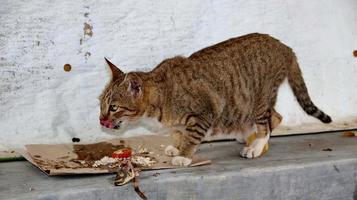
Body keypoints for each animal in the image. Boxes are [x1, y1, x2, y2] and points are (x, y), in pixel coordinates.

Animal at [98, 33, 330, 166]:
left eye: (114, 107)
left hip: (259, 97)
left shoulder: (206, 111)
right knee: (275, 116)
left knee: (270, 120)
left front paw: (184, 154)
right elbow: (180, 132)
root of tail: (284, 47)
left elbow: (192, 136)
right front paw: (177, 145)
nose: (101, 120)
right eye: (101, 104)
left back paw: (256, 145)